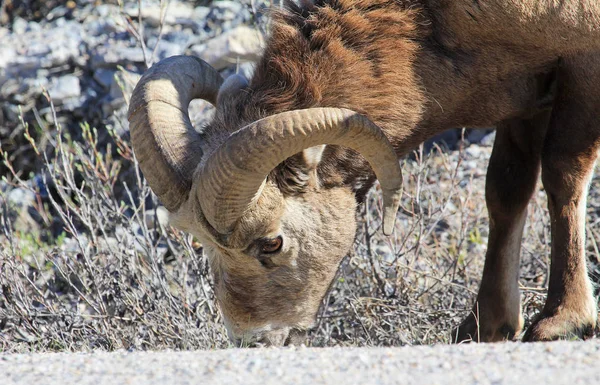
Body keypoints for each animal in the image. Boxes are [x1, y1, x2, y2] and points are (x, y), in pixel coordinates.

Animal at [127, 0, 600, 342]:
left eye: (272, 242)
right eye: (203, 244)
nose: (253, 339)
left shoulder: (580, 66)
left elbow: (561, 178)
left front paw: (561, 322)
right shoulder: (527, 97)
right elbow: (505, 192)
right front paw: (486, 326)